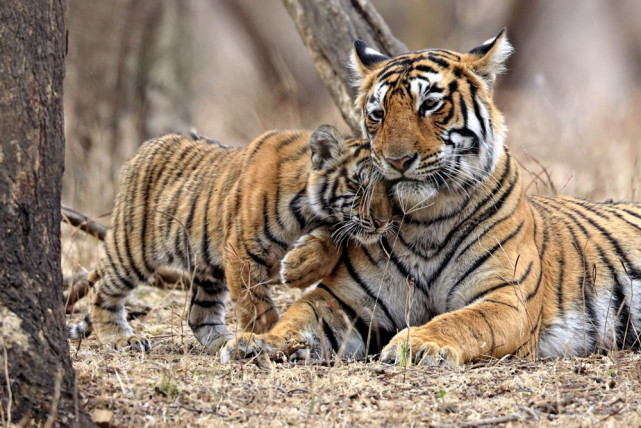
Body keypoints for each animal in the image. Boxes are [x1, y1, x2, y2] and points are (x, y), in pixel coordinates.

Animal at [67, 125, 392, 352]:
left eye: (389, 188)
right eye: (358, 185)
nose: (383, 222)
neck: (307, 211)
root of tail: (141, 149)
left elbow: (334, 239)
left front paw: (299, 268)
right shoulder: (242, 250)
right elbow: (257, 304)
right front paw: (265, 338)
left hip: (208, 268)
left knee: (199, 314)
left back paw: (222, 342)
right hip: (132, 250)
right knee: (103, 292)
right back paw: (119, 338)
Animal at [219, 29, 640, 364]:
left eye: (430, 105)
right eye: (377, 113)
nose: (397, 160)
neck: (427, 219)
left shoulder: (505, 298)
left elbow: (462, 322)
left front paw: (418, 344)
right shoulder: (344, 301)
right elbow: (298, 318)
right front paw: (256, 342)